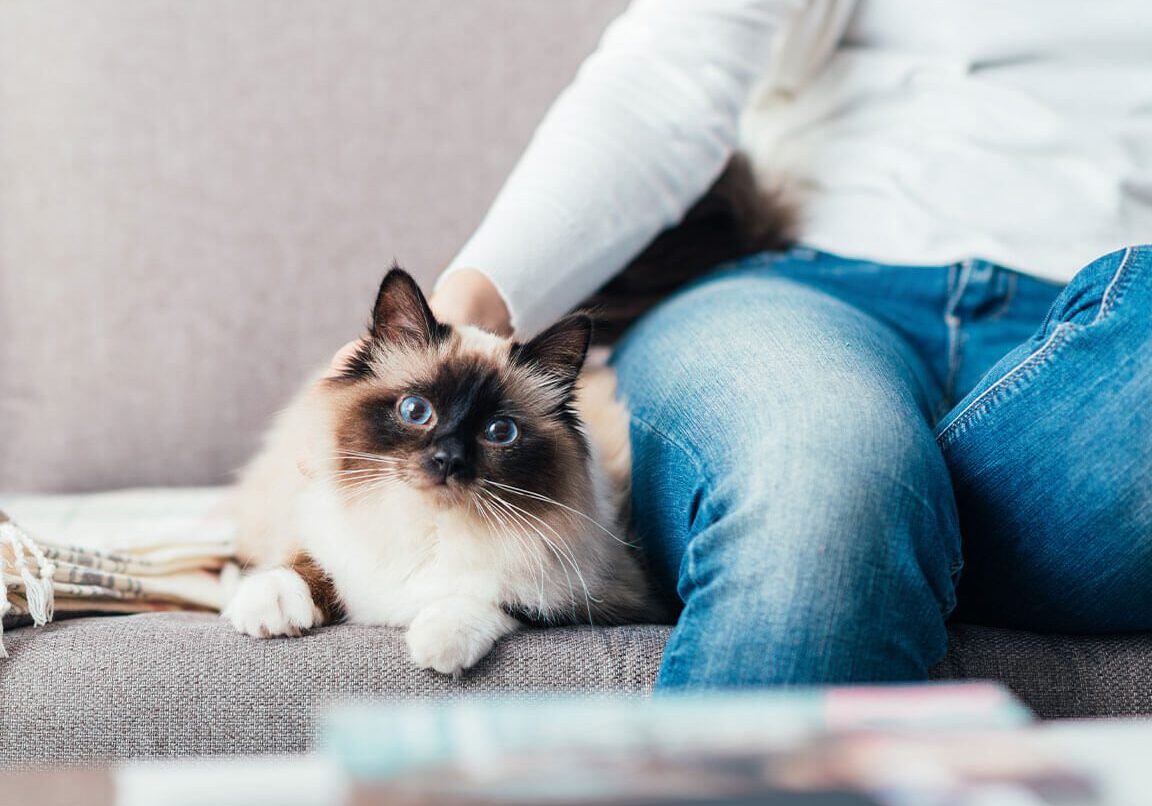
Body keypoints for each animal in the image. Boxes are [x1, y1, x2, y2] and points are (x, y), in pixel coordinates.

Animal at [224, 265, 663, 672]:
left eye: (499, 432)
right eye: (416, 411)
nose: (448, 459)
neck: (430, 526)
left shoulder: (610, 595)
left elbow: (504, 599)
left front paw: (439, 642)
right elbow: (308, 561)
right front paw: (272, 605)